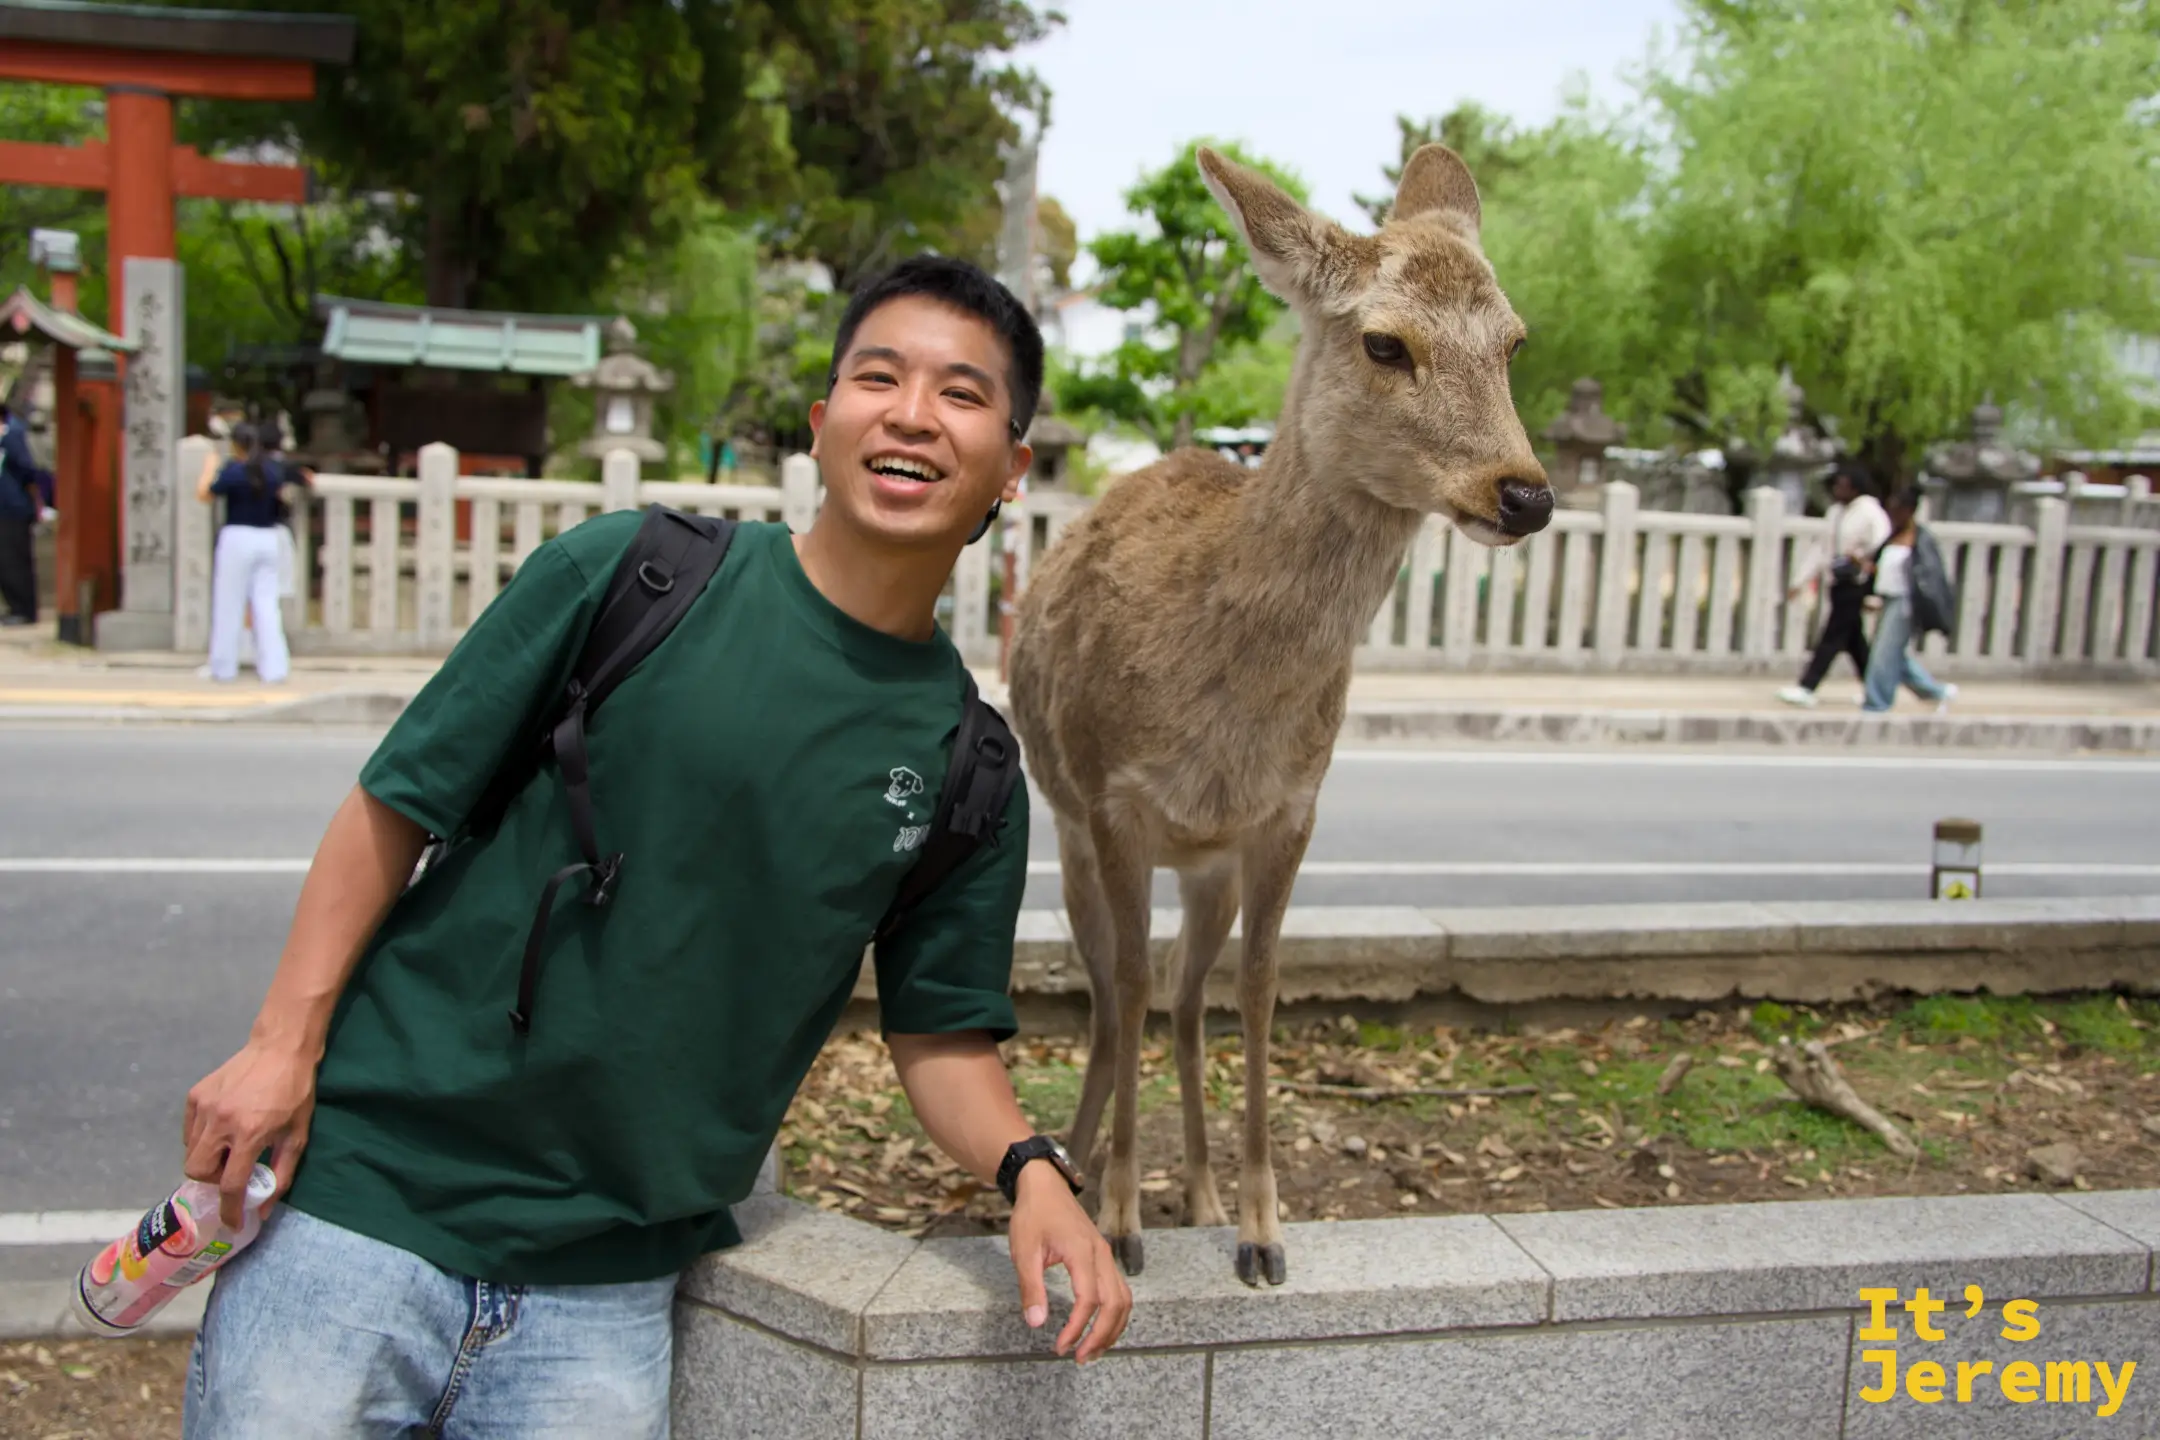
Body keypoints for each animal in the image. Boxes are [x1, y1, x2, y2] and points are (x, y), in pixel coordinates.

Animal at [1005, 144, 1553, 1287]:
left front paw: (1261, 1232)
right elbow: (1126, 983)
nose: (1525, 494)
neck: (1227, 716)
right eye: (1384, 342)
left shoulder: (1289, 812)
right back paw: (1079, 1167)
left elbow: (1256, 994)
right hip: (1065, 832)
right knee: (1108, 994)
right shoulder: (1115, 802)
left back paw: (1202, 1194)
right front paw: (1118, 1226)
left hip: (1203, 868)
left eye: (1516, 339)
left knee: (1182, 994)